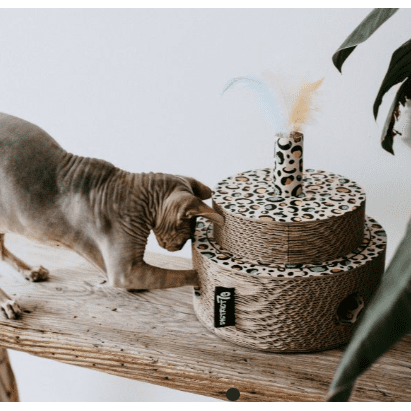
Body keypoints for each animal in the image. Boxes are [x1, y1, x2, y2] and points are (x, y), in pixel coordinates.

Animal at [0, 112, 223, 319]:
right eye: (186, 226)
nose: (178, 247)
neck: (139, 197)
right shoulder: (126, 273)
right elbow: (187, 274)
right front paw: (208, 280)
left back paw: (30, 270)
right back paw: (7, 302)